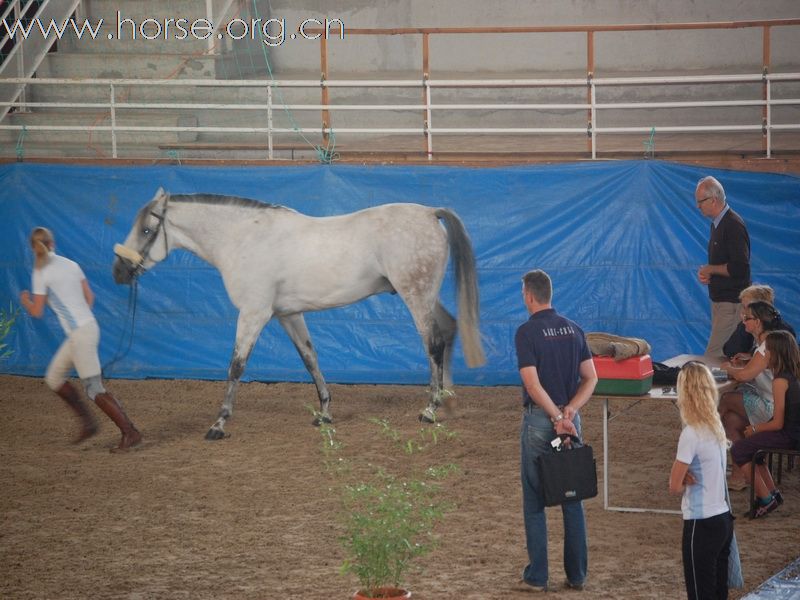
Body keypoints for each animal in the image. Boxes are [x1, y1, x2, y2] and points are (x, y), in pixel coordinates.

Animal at [111, 190, 488, 438]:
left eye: (146, 230)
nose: (119, 272)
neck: (244, 239)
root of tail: (429, 212)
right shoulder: (287, 315)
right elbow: (310, 359)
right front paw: (324, 413)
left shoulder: (253, 314)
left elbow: (236, 366)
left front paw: (218, 424)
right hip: (426, 295)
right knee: (448, 330)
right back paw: (448, 402)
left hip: (415, 295)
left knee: (433, 343)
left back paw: (430, 409)